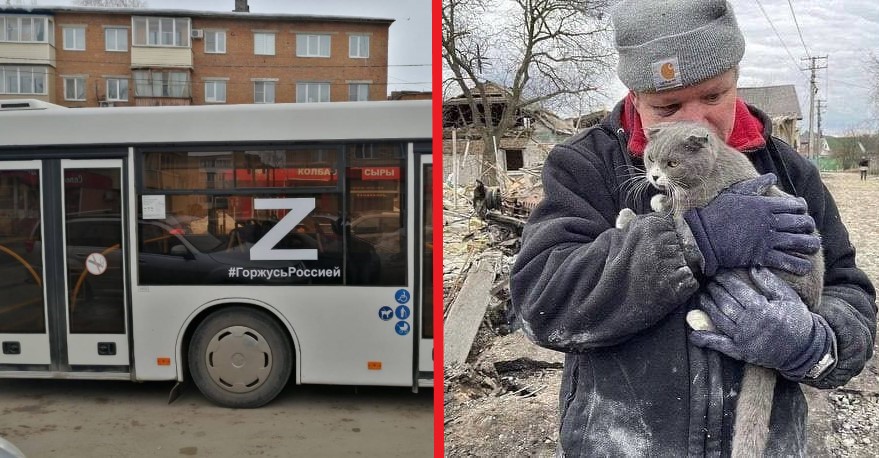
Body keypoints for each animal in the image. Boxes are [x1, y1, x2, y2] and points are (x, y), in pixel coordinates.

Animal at [616, 121, 820, 458]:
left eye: (672, 163)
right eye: (650, 158)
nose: (655, 177)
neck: (710, 171)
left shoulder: (692, 215)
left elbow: (674, 225)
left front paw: (630, 217)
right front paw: (659, 200)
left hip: (752, 273)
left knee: (735, 327)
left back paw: (701, 319)